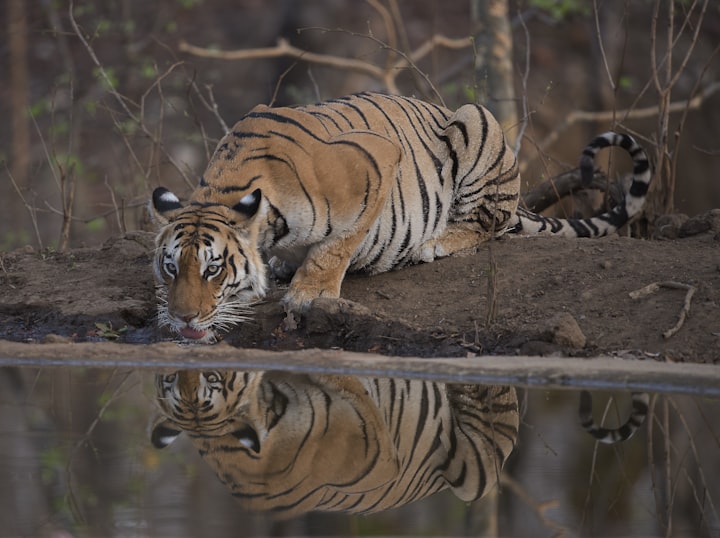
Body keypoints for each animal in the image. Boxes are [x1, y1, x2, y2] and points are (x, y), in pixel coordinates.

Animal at [152, 90, 652, 338]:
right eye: (170, 267)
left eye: (214, 269)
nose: (182, 319)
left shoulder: (376, 160)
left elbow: (336, 246)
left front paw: (308, 293)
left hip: (476, 121)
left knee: (489, 223)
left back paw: (436, 242)